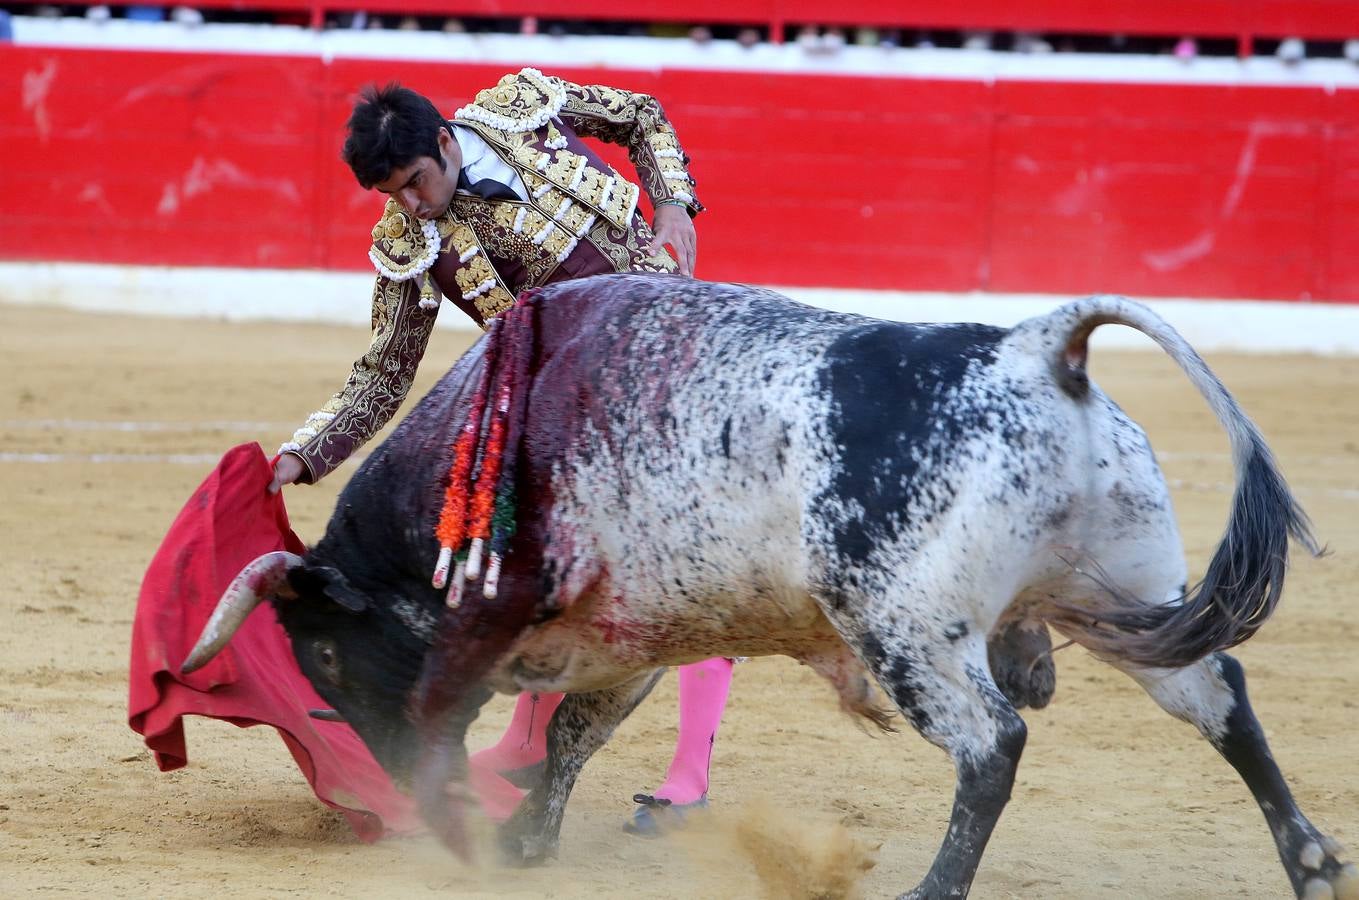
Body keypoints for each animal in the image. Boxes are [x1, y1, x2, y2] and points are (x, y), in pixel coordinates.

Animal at [183, 277, 1359, 900]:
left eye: (322, 653)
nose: (373, 770)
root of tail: (1032, 349)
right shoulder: (634, 630)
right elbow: (572, 730)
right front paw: (525, 843)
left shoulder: (528, 617)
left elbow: (483, 717)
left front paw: (472, 836)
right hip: (1121, 591)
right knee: (1218, 698)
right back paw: (1307, 860)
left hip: (908, 628)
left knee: (991, 746)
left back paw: (934, 889)